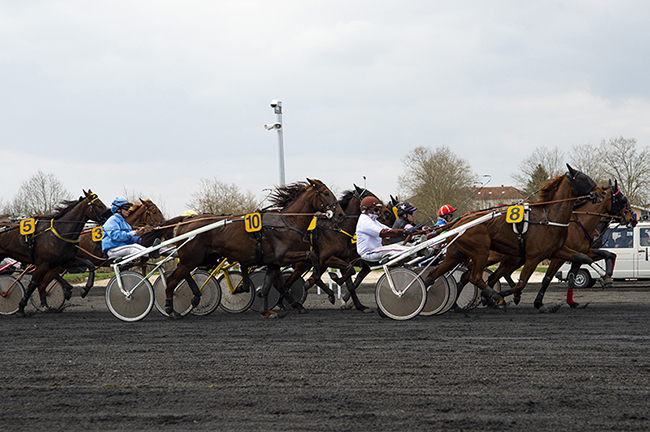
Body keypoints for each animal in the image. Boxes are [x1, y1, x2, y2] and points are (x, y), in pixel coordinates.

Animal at [142, 178, 344, 318]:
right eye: (326, 193)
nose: (341, 214)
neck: (285, 223)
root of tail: (186, 221)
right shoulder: (284, 256)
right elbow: (313, 256)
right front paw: (315, 278)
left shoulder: (273, 262)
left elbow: (273, 285)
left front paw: (275, 309)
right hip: (191, 258)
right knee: (172, 280)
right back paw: (171, 308)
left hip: (200, 258)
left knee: (184, 275)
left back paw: (195, 296)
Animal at [420, 164, 596, 306]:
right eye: (583, 178)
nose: (598, 192)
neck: (548, 218)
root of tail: (458, 223)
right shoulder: (534, 257)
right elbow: (520, 284)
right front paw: (505, 297)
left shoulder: (557, 250)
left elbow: (583, 258)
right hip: (480, 252)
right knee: (474, 277)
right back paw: (495, 297)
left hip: (456, 253)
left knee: (435, 274)